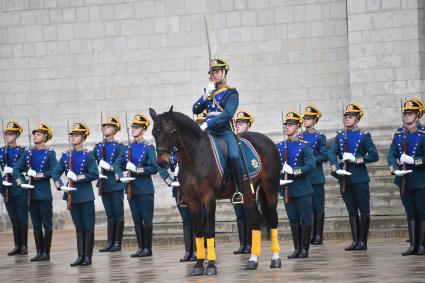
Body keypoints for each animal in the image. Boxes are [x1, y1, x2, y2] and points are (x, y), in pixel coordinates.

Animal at [149, 107, 282, 276]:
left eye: (171, 131)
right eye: (154, 132)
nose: (162, 162)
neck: (194, 157)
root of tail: (268, 141)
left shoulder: (209, 198)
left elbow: (209, 230)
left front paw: (211, 265)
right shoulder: (192, 200)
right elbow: (199, 231)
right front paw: (198, 265)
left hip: (270, 187)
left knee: (272, 218)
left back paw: (275, 259)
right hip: (247, 192)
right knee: (255, 219)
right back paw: (252, 261)